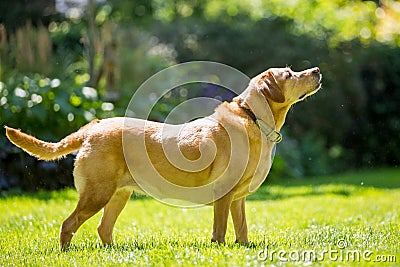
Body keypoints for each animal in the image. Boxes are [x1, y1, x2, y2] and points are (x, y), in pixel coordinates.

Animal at [4, 66, 322, 250]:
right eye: (290, 75)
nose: (317, 69)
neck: (253, 117)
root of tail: (92, 127)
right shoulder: (224, 195)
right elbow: (220, 230)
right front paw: (219, 250)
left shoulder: (238, 199)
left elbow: (242, 228)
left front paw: (244, 248)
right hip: (97, 194)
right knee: (68, 225)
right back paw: (66, 254)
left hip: (118, 195)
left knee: (102, 228)